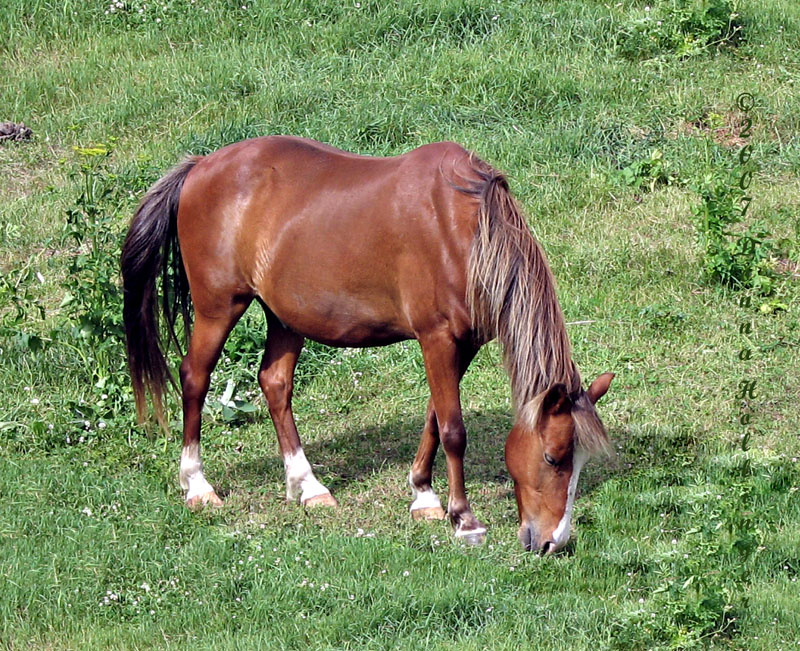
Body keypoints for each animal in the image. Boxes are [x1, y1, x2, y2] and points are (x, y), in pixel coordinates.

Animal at [122, 135, 616, 552]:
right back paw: (197, 485)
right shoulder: (436, 337)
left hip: (284, 316)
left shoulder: (464, 343)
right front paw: (463, 518)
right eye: (553, 457)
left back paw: (307, 485)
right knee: (195, 378)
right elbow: (453, 430)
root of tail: (200, 166)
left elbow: (434, 417)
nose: (553, 542)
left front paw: (423, 495)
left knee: (275, 383)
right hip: (219, 307)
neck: (463, 228)